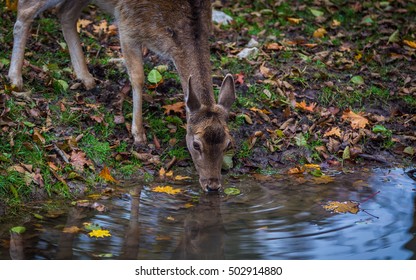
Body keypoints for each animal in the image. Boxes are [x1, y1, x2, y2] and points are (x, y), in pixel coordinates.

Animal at [7, 0, 234, 190]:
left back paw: (86, 78)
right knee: (25, 10)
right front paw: (139, 135)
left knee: (65, 14)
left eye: (228, 143)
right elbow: (138, 77)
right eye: (196, 144)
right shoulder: (127, 24)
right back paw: (15, 79)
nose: (213, 186)